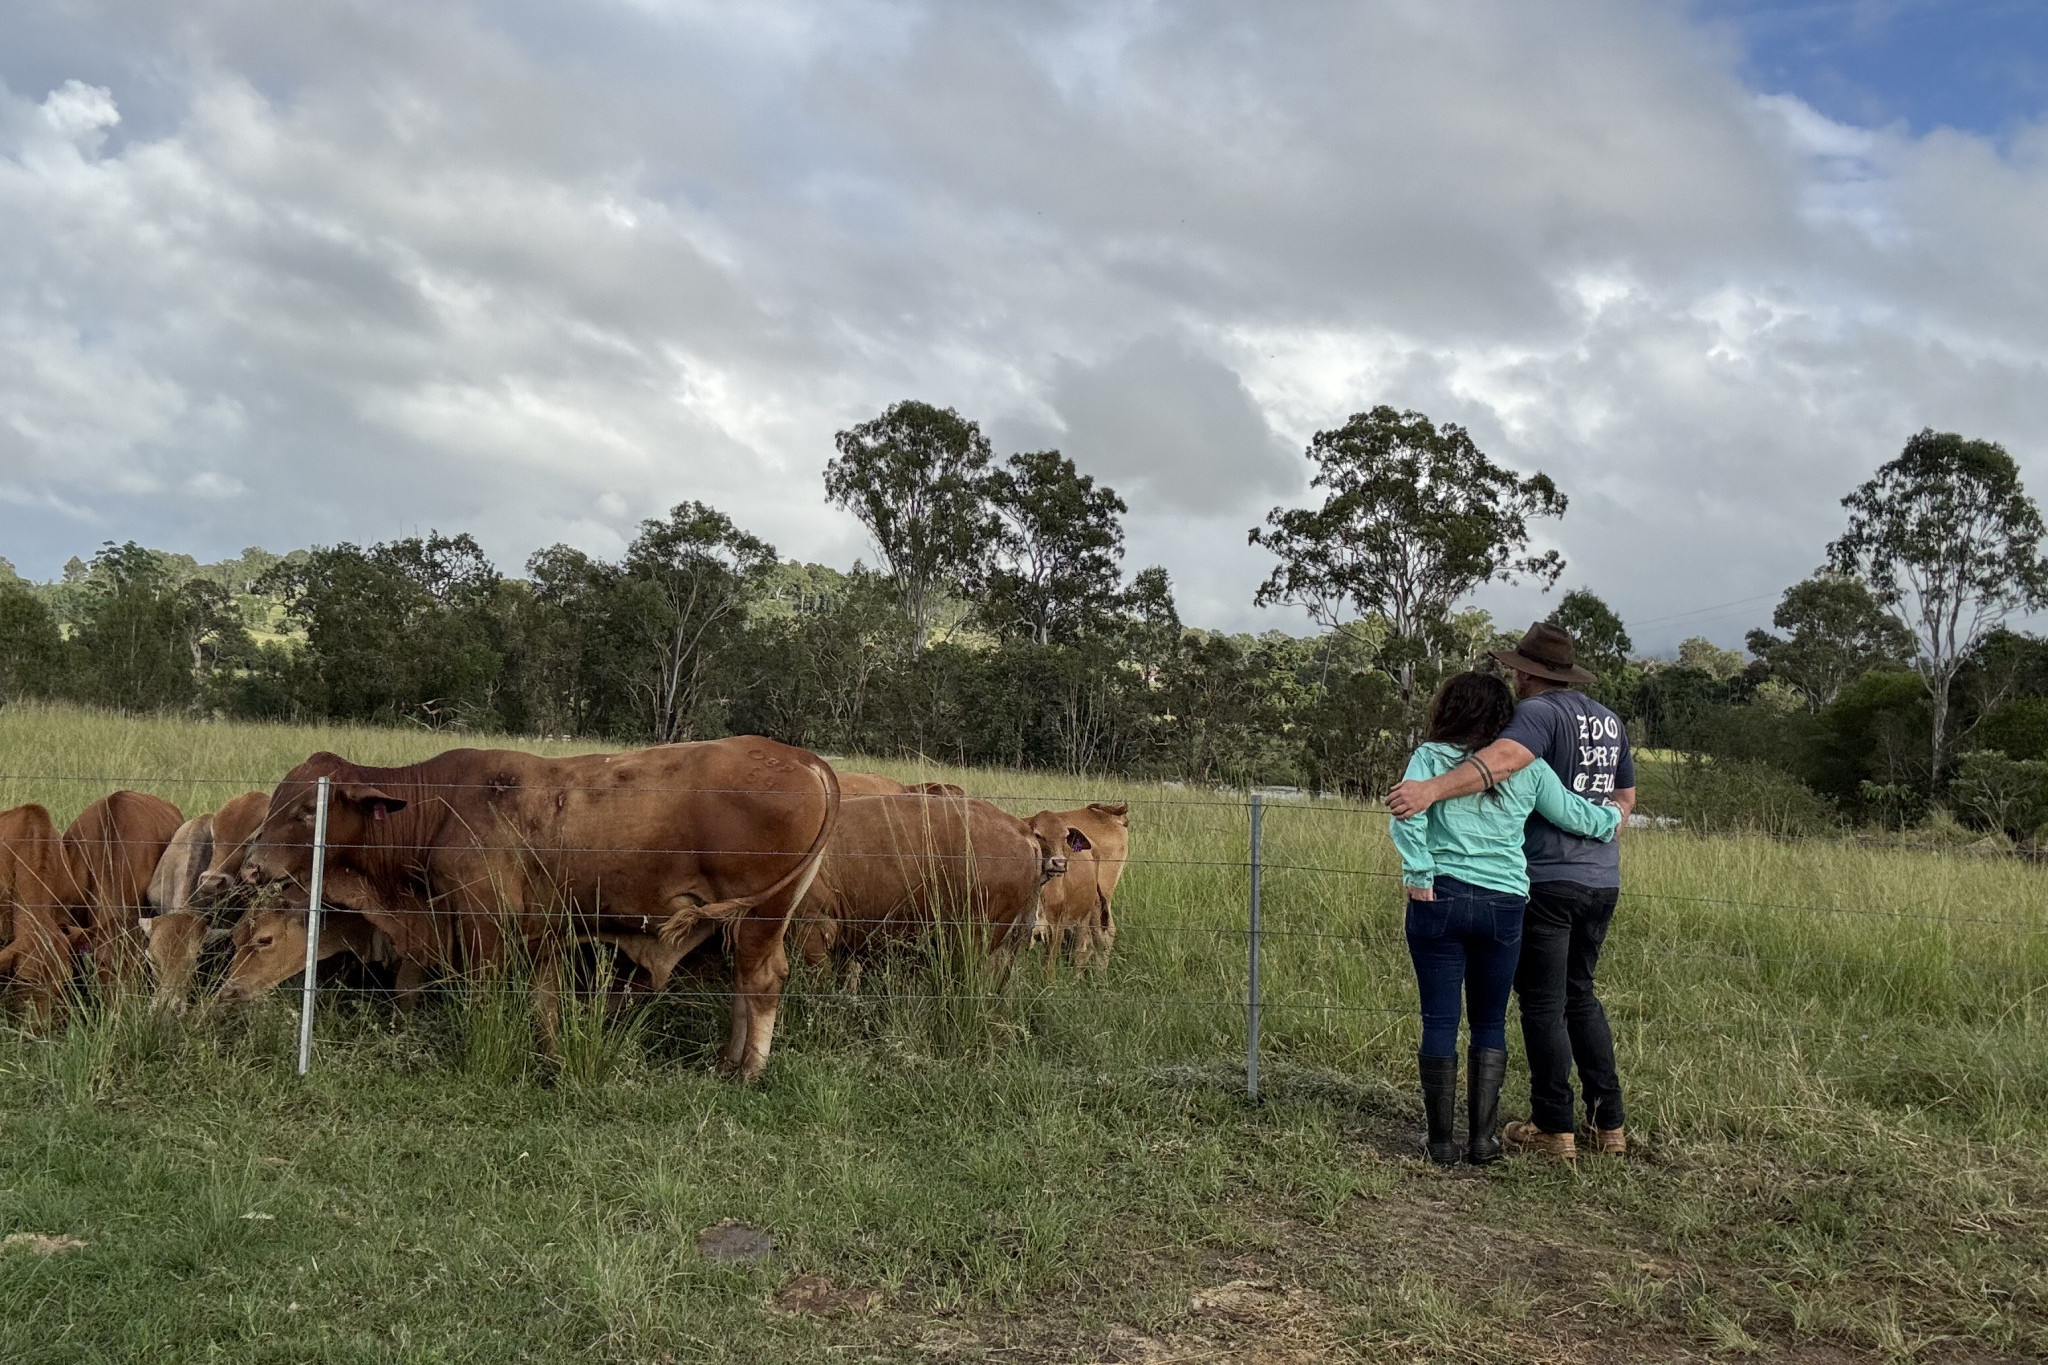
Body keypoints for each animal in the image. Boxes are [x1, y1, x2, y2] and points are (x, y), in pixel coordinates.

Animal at [243, 740, 835, 1080]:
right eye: (277, 800)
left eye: (307, 809)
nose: (250, 865)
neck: (440, 805)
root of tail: (802, 758)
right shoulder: (543, 930)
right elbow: (545, 1001)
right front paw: (550, 1059)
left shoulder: (480, 920)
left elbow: (486, 994)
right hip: (741, 922)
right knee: (742, 984)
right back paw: (726, 1060)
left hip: (761, 917)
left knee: (762, 982)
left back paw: (748, 1072)